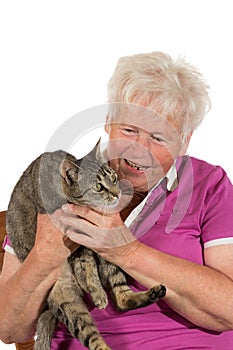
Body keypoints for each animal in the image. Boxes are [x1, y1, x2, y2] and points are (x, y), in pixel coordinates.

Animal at [5, 141, 166, 348]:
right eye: (98, 186)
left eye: (114, 178)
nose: (117, 193)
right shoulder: (72, 239)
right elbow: (87, 265)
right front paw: (95, 290)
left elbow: (87, 263)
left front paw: (93, 286)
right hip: (68, 305)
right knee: (92, 338)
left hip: (109, 259)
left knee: (122, 298)